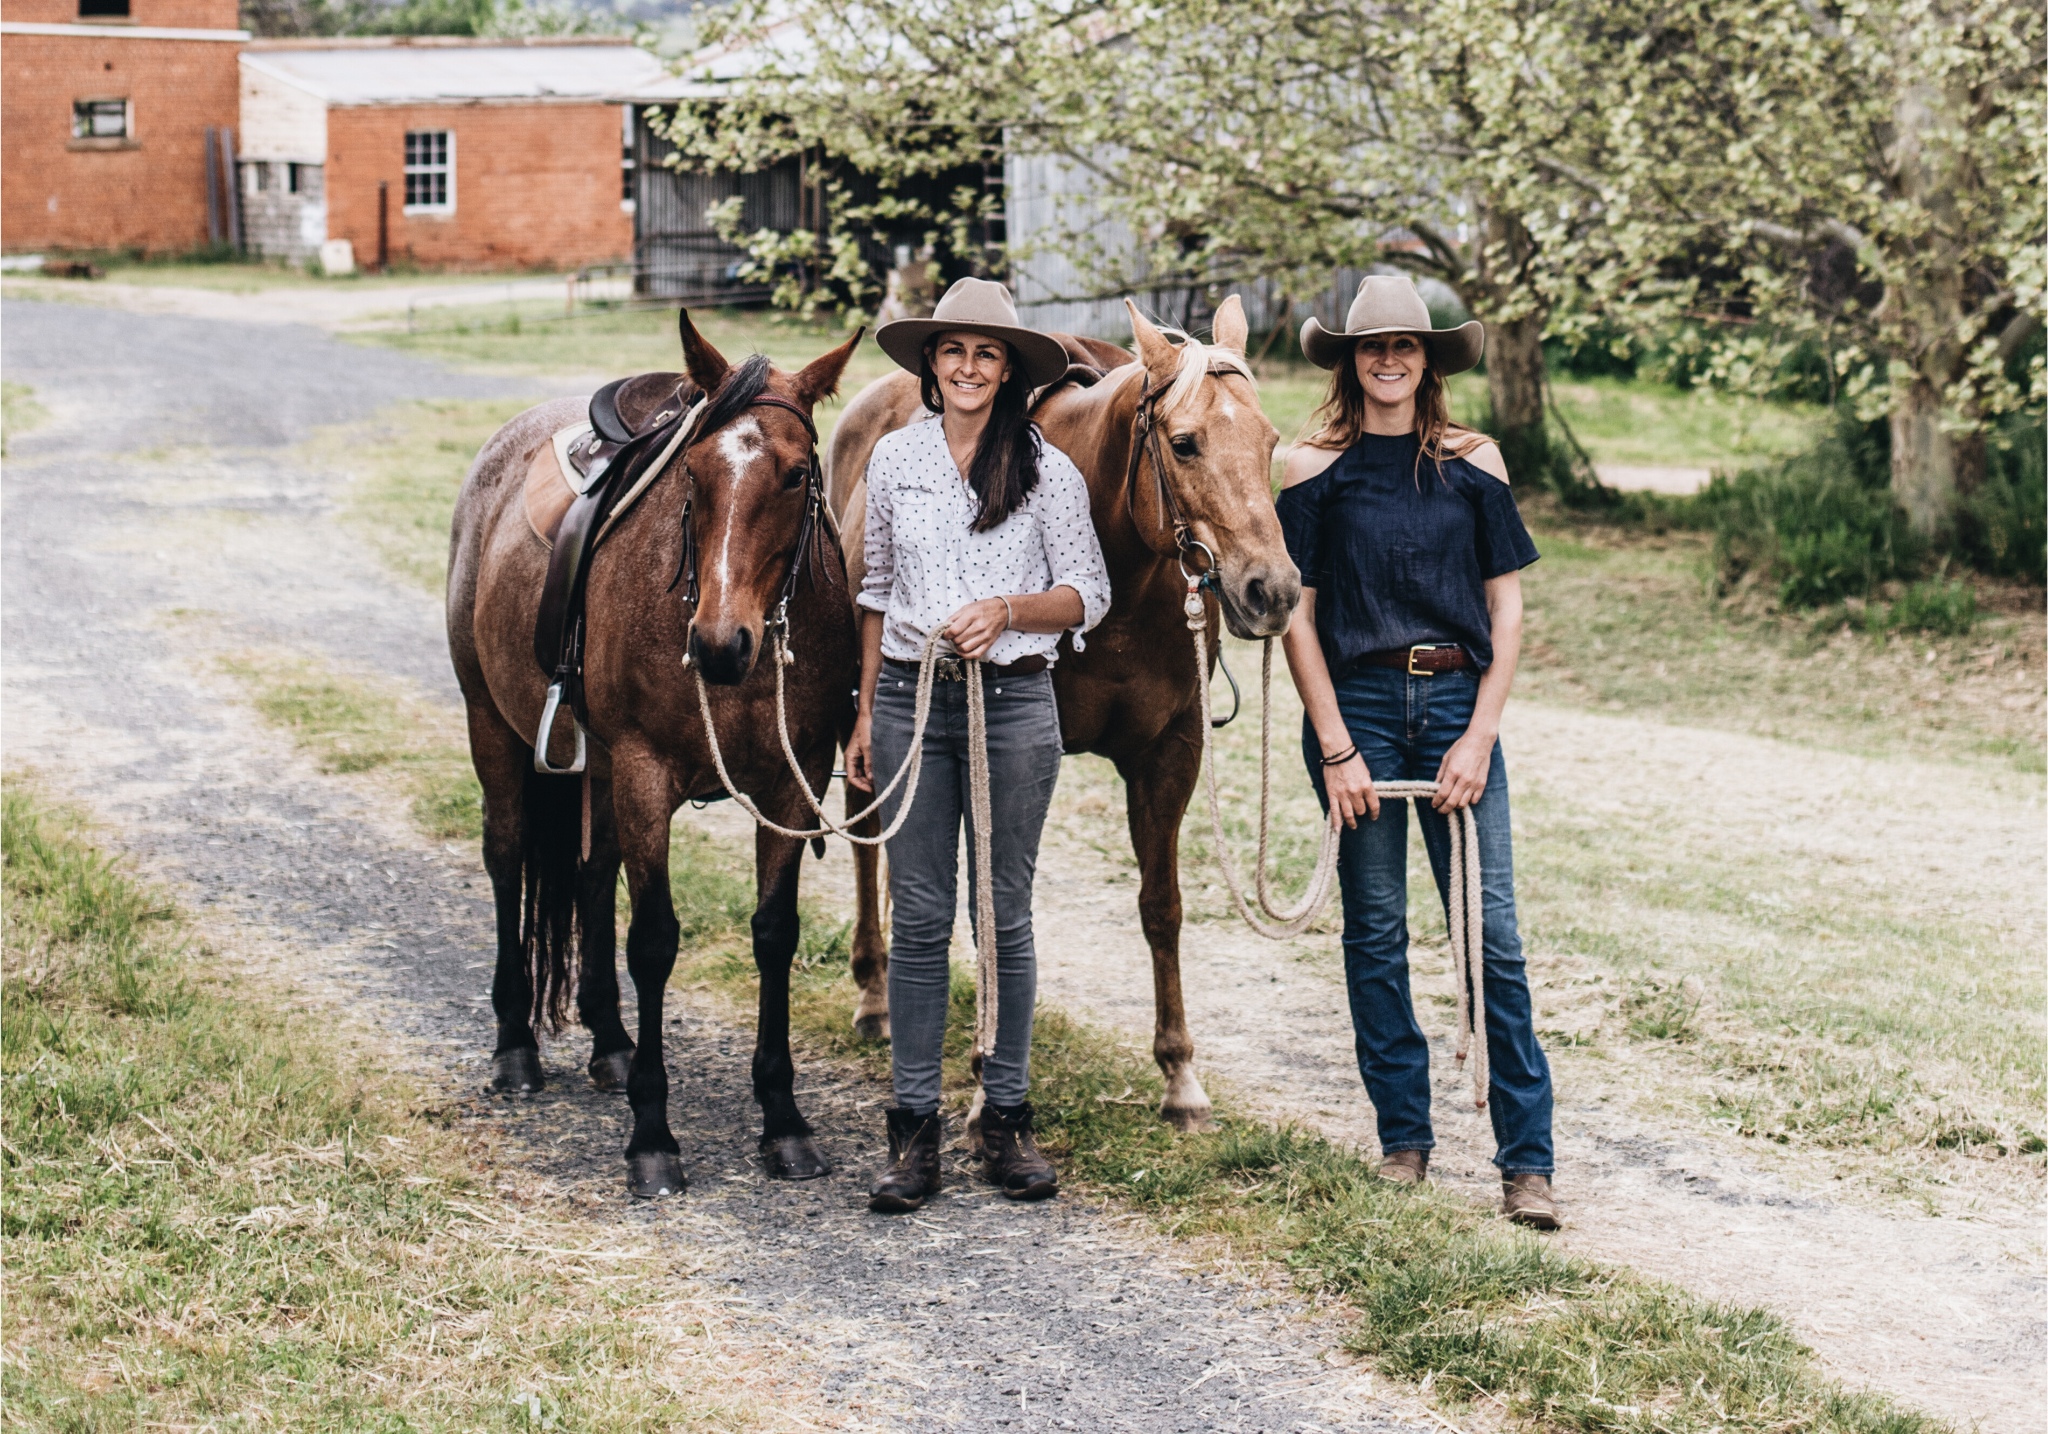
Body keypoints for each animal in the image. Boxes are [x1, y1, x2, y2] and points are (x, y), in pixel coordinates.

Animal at [444, 313, 860, 1196]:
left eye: (797, 475)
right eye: (693, 473)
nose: (720, 644)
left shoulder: (792, 781)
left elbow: (774, 931)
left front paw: (784, 1119)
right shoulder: (644, 773)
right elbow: (656, 941)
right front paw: (652, 1135)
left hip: (597, 769)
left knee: (592, 873)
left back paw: (609, 1041)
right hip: (492, 726)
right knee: (506, 858)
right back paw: (516, 1047)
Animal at [827, 297, 1294, 1122]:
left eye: (1269, 442)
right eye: (1185, 444)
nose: (1272, 591)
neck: (1120, 577)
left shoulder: (1169, 753)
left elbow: (1161, 905)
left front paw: (1179, 1073)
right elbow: (990, 909)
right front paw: (987, 1078)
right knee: (866, 835)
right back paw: (876, 997)